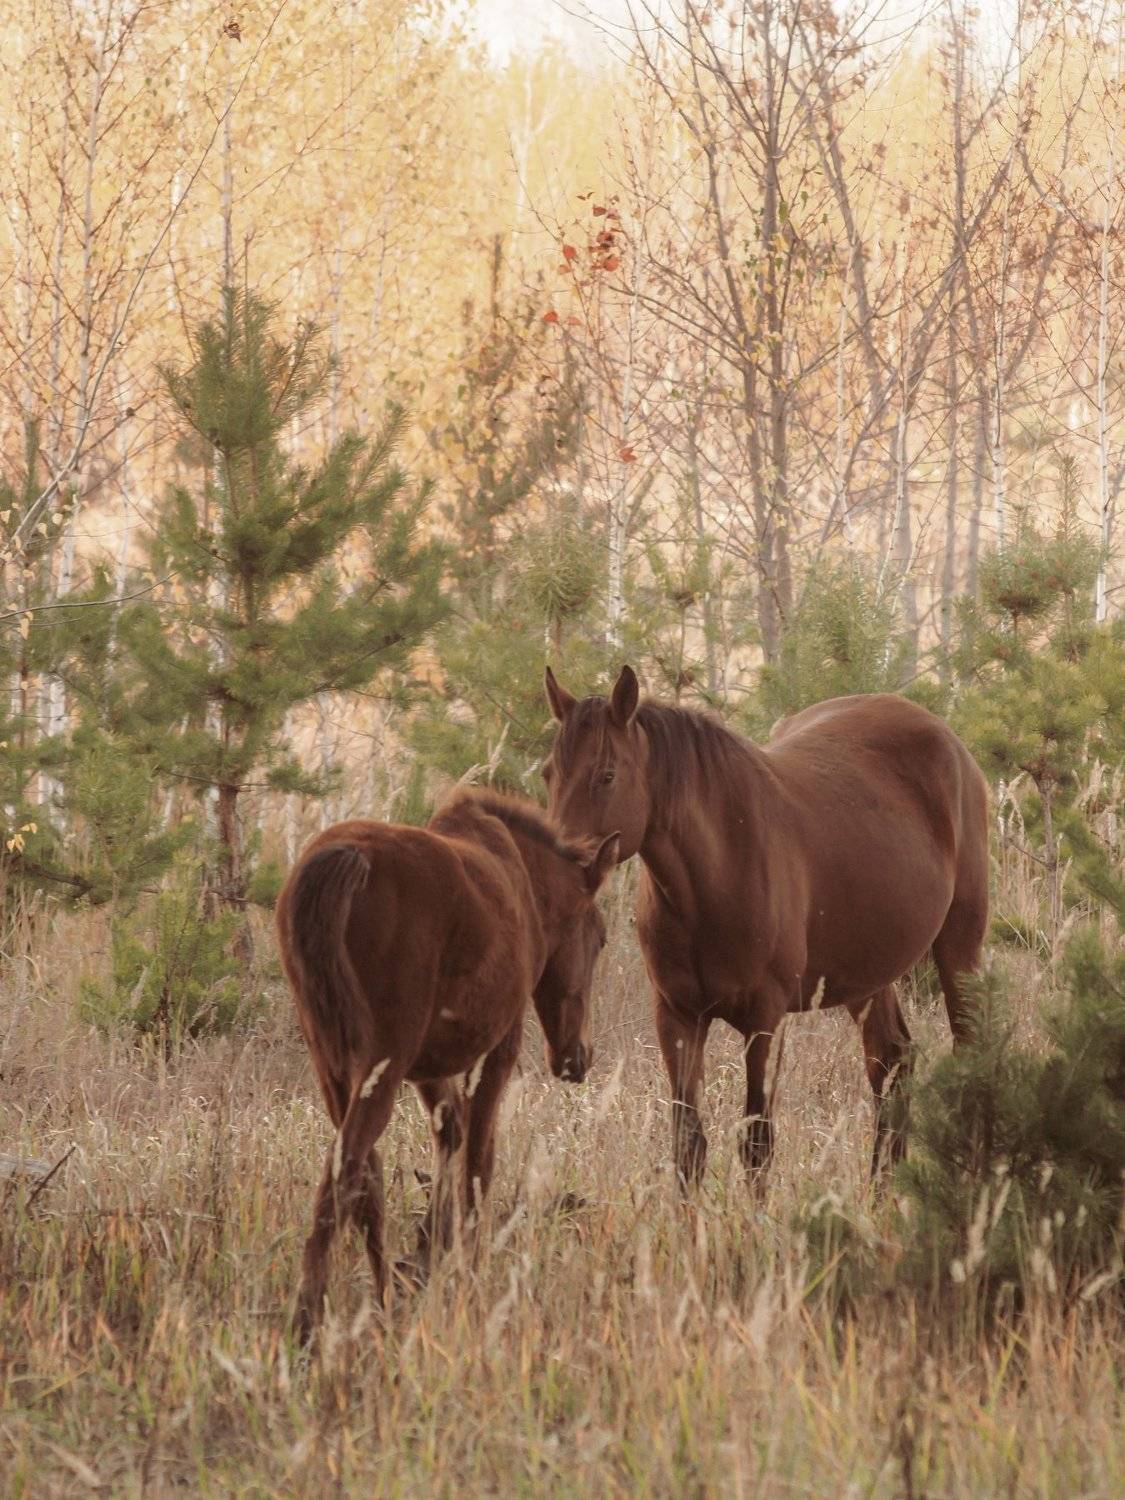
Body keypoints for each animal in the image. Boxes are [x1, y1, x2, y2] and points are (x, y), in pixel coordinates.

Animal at [276, 786, 618, 1341]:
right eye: (601, 936)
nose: (576, 1057)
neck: (527, 884)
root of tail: (343, 862)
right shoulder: (499, 1044)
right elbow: (480, 1158)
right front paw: (469, 1262)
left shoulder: (429, 1065)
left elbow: (449, 1133)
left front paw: (431, 1246)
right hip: (380, 1061)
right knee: (347, 1168)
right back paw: (310, 1317)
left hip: (331, 1060)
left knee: (364, 1175)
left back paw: (380, 1291)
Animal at [542, 665, 989, 1190]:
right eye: (550, 773)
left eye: (606, 775)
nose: (558, 868)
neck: (714, 877)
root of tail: (948, 740)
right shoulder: (676, 1016)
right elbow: (688, 1144)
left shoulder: (764, 1019)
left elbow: (757, 1144)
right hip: (869, 975)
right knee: (891, 1060)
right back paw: (881, 1192)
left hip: (959, 947)